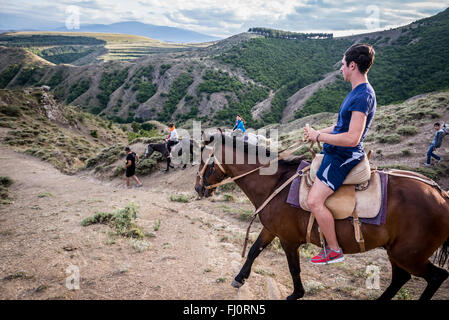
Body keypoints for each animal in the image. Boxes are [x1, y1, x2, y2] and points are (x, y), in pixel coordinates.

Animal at [195, 134, 448, 302]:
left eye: (204, 161)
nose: (198, 188)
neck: (275, 183)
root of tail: (440, 194)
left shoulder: (288, 239)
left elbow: (294, 268)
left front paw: (296, 294)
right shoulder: (271, 230)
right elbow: (254, 250)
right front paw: (239, 278)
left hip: (409, 254)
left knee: (436, 276)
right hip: (397, 252)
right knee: (400, 278)